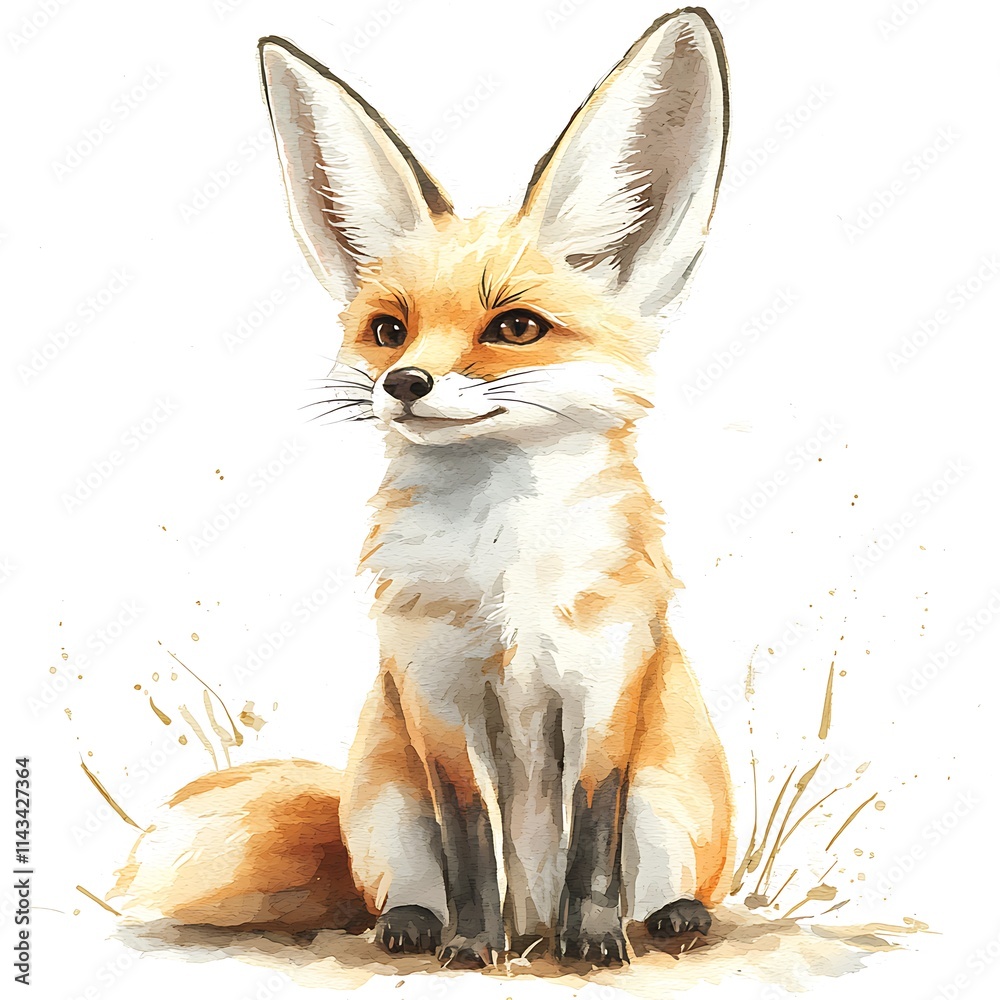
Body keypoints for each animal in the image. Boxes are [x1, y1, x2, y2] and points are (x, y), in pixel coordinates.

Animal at [111, 7, 734, 969]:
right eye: (387, 330)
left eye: (515, 326)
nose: (403, 383)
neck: (504, 570)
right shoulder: (434, 689)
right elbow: (469, 835)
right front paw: (472, 947)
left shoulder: (604, 679)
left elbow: (592, 833)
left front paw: (592, 941)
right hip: (384, 803)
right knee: (401, 885)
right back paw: (421, 926)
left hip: (671, 802)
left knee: (659, 877)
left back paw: (659, 920)